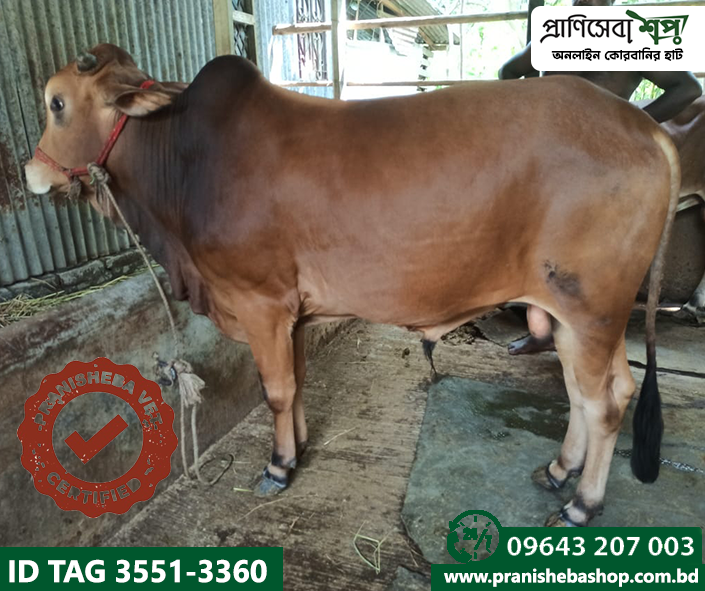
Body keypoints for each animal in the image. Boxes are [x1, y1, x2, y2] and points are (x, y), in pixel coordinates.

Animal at [25, 44, 680, 527]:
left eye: (56, 103)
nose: (30, 172)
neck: (186, 163)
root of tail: (642, 125)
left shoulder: (260, 303)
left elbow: (276, 391)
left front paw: (279, 466)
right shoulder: (290, 312)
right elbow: (297, 381)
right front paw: (300, 447)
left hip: (592, 309)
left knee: (604, 404)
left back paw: (582, 503)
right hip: (581, 316)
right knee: (595, 392)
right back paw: (558, 470)